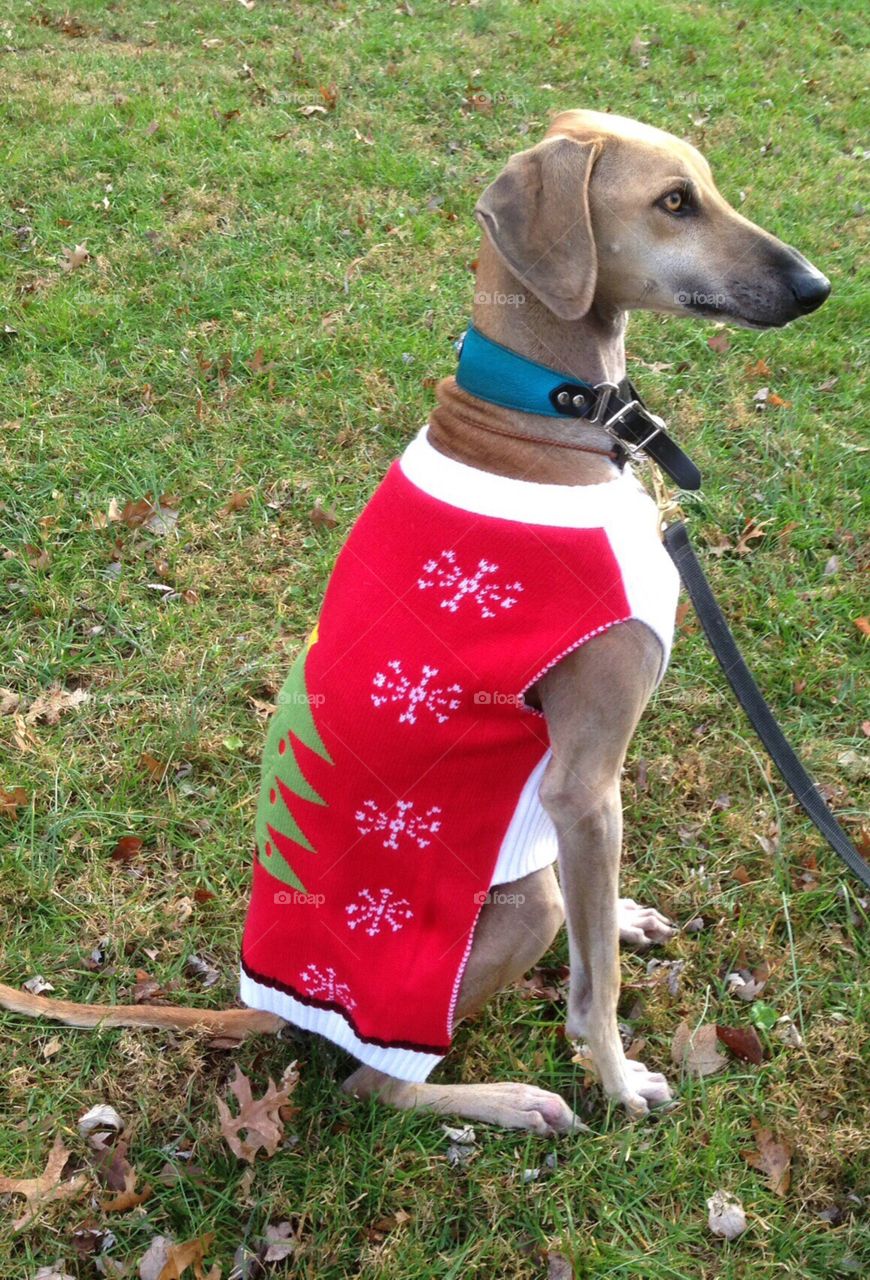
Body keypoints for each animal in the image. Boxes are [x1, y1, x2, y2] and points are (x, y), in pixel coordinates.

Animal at [0, 110, 829, 1136]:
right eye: (674, 201)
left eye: (706, 186)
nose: (818, 288)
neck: (536, 417)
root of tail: (263, 1005)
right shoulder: (582, 780)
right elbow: (594, 988)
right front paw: (618, 1082)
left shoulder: (575, 795)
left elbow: (599, 937)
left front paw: (624, 927)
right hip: (507, 914)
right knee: (380, 1082)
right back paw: (511, 1099)